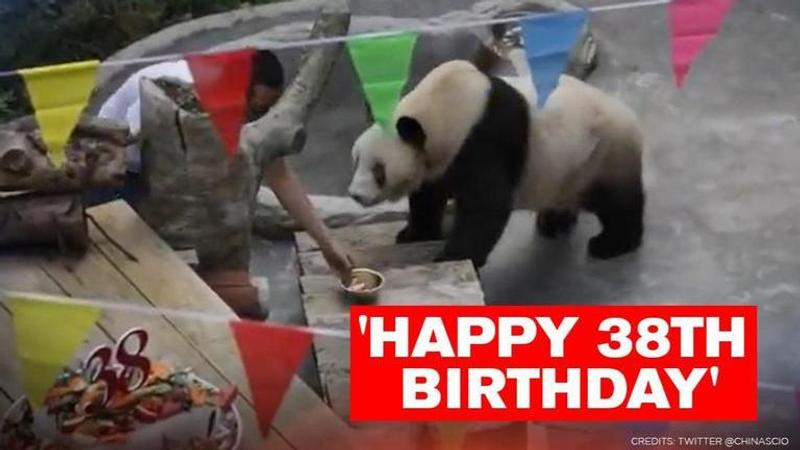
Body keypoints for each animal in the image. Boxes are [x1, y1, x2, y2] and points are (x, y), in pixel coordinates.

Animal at [348, 57, 644, 268]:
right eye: (356, 159)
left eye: (379, 170)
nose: (355, 195)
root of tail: (630, 117)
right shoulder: (439, 161)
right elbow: (427, 197)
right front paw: (413, 235)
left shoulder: (485, 139)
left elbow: (486, 206)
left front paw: (453, 256)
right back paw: (555, 222)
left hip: (603, 154)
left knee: (617, 202)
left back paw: (612, 244)